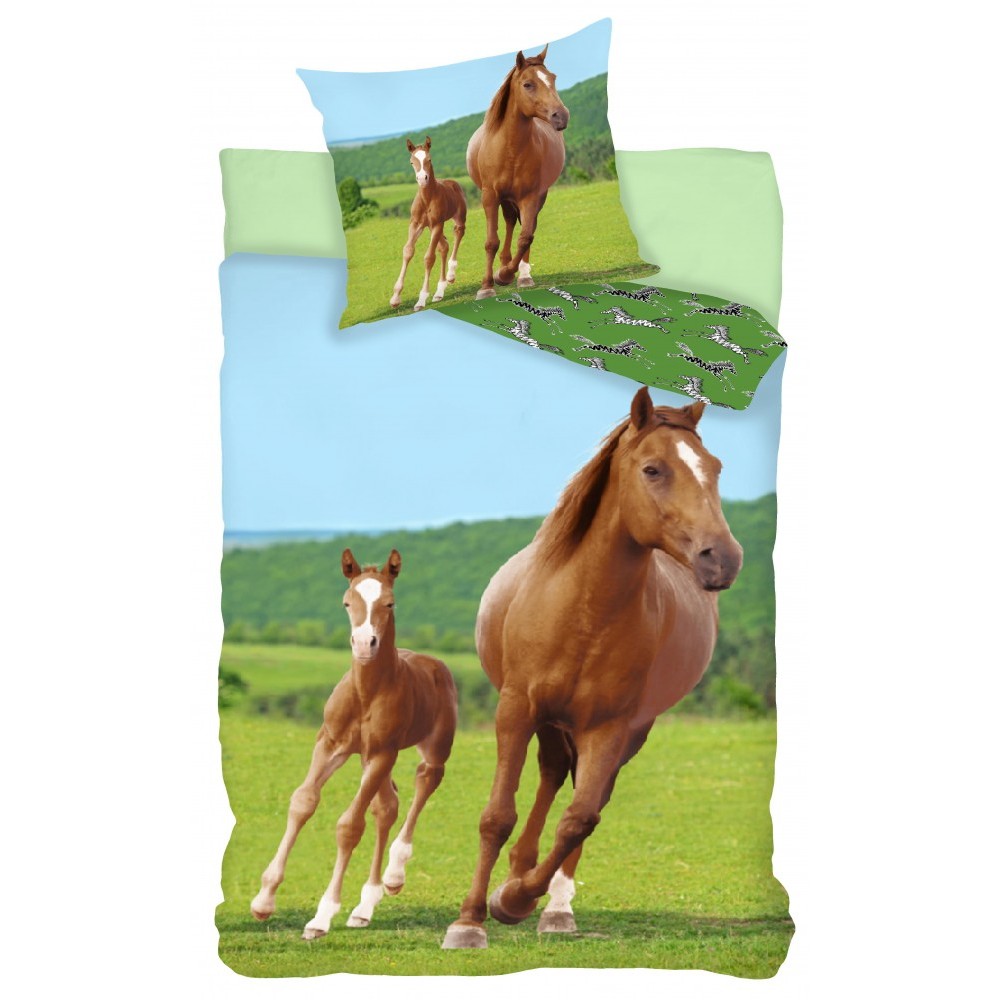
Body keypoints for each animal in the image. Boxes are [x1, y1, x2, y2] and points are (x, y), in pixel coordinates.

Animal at [251, 549, 458, 938]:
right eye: (347, 602)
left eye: (389, 602)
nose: (364, 644)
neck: (366, 694)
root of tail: (434, 663)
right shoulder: (331, 744)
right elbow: (303, 802)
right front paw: (264, 900)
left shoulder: (381, 753)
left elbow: (349, 826)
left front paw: (321, 916)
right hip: (365, 758)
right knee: (387, 807)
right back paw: (365, 906)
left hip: (430, 747)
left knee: (425, 780)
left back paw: (393, 875)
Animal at [390, 137, 468, 312]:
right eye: (411, 162)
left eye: (429, 159)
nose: (422, 178)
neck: (427, 199)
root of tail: (453, 183)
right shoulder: (416, 224)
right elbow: (408, 251)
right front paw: (395, 297)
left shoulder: (437, 224)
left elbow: (429, 258)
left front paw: (421, 299)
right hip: (431, 227)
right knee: (444, 246)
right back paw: (439, 291)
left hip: (456, 219)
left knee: (458, 233)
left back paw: (451, 275)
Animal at [442, 387, 743, 949]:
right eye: (653, 469)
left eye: (714, 468)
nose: (722, 558)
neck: (583, 609)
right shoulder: (515, 710)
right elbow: (497, 815)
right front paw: (469, 920)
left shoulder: (609, 727)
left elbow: (579, 818)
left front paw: (516, 900)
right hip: (548, 721)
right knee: (551, 773)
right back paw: (516, 873)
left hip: (622, 733)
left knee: (583, 795)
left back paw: (550, 905)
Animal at [466, 45, 569, 300]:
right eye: (528, 84)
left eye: (553, 78)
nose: (561, 116)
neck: (510, 149)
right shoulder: (490, 197)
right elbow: (491, 241)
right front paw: (487, 285)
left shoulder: (530, 197)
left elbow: (525, 237)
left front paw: (505, 275)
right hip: (504, 199)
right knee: (510, 222)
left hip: (535, 197)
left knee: (524, 227)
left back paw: (521, 274)